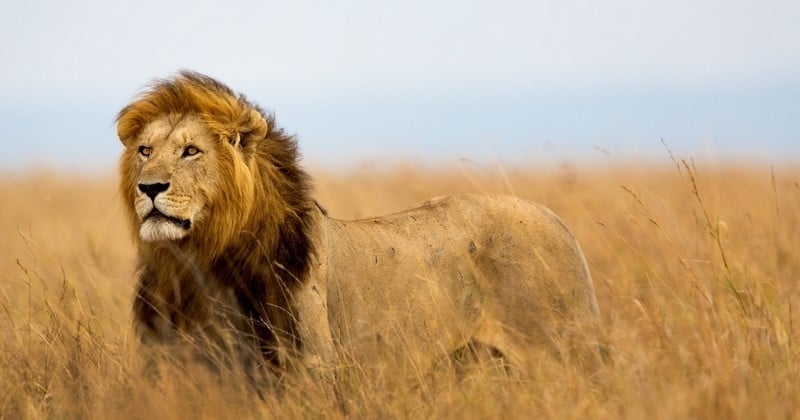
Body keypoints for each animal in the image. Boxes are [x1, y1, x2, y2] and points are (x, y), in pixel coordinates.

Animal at [114, 70, 600, 388]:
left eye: (191, 151)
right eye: (144, 151)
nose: (149, 187)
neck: (199, 261)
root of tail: (556, 219)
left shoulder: (310, 368)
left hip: (561, 350)